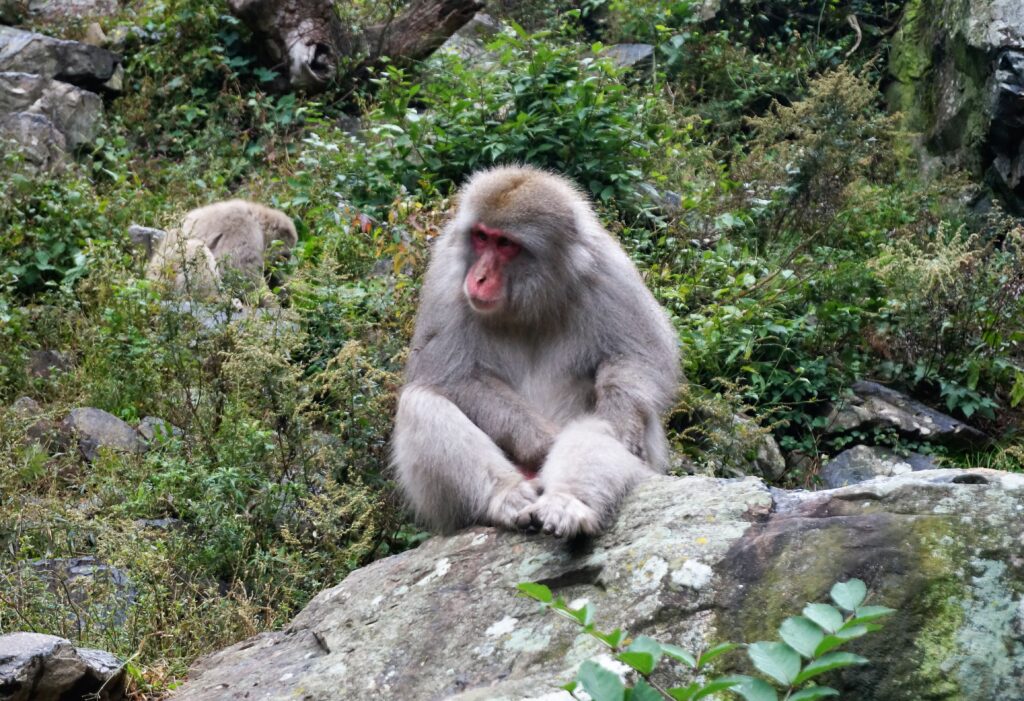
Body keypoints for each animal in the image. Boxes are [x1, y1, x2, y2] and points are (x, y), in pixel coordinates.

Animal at [145, 199, 297, 298]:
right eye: (284, 255)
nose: (285, 261)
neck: (257, 220)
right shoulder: (245, 229)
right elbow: (238, 270)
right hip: (168, 272)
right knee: (196, 248)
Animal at [392, 165, 680, 538]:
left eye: (505, 244)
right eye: (481, 237)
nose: (479, 277)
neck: (532, 301)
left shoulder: (609, 271)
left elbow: (640, 356)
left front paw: (622, 417)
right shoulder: (446, 278)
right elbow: (446, 374)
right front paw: (544, 444)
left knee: (603, 425)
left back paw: (567, 502)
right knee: (419, 402)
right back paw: (508, 497)